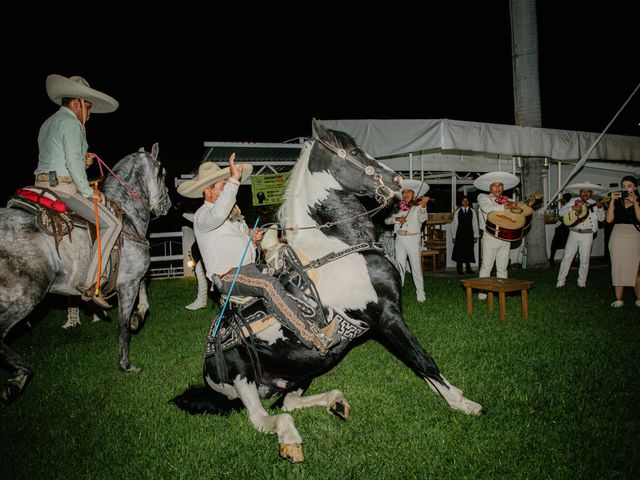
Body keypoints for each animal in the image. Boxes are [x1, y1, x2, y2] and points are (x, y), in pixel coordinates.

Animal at [0, 145, 171, 402]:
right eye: (163, 173)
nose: (167, 205)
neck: (127, 218)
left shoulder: (134, 278)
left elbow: (143, 301)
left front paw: (137, 317)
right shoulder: (128, 282)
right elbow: (123, 326)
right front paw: (126, 364)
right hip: (25, 295)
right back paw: (20, 377)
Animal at [172, 122, 482, 464]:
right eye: (356, 151)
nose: (398, 181)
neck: (339, 246)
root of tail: (208, 370)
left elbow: (418, 362)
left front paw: (454, 395)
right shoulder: (386, 316)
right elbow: (423, 360)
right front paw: (464, 404)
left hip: (304, 370)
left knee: (288, 402)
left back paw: (337, 402)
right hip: (243, 375)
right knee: (263, 417)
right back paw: (290, 440)